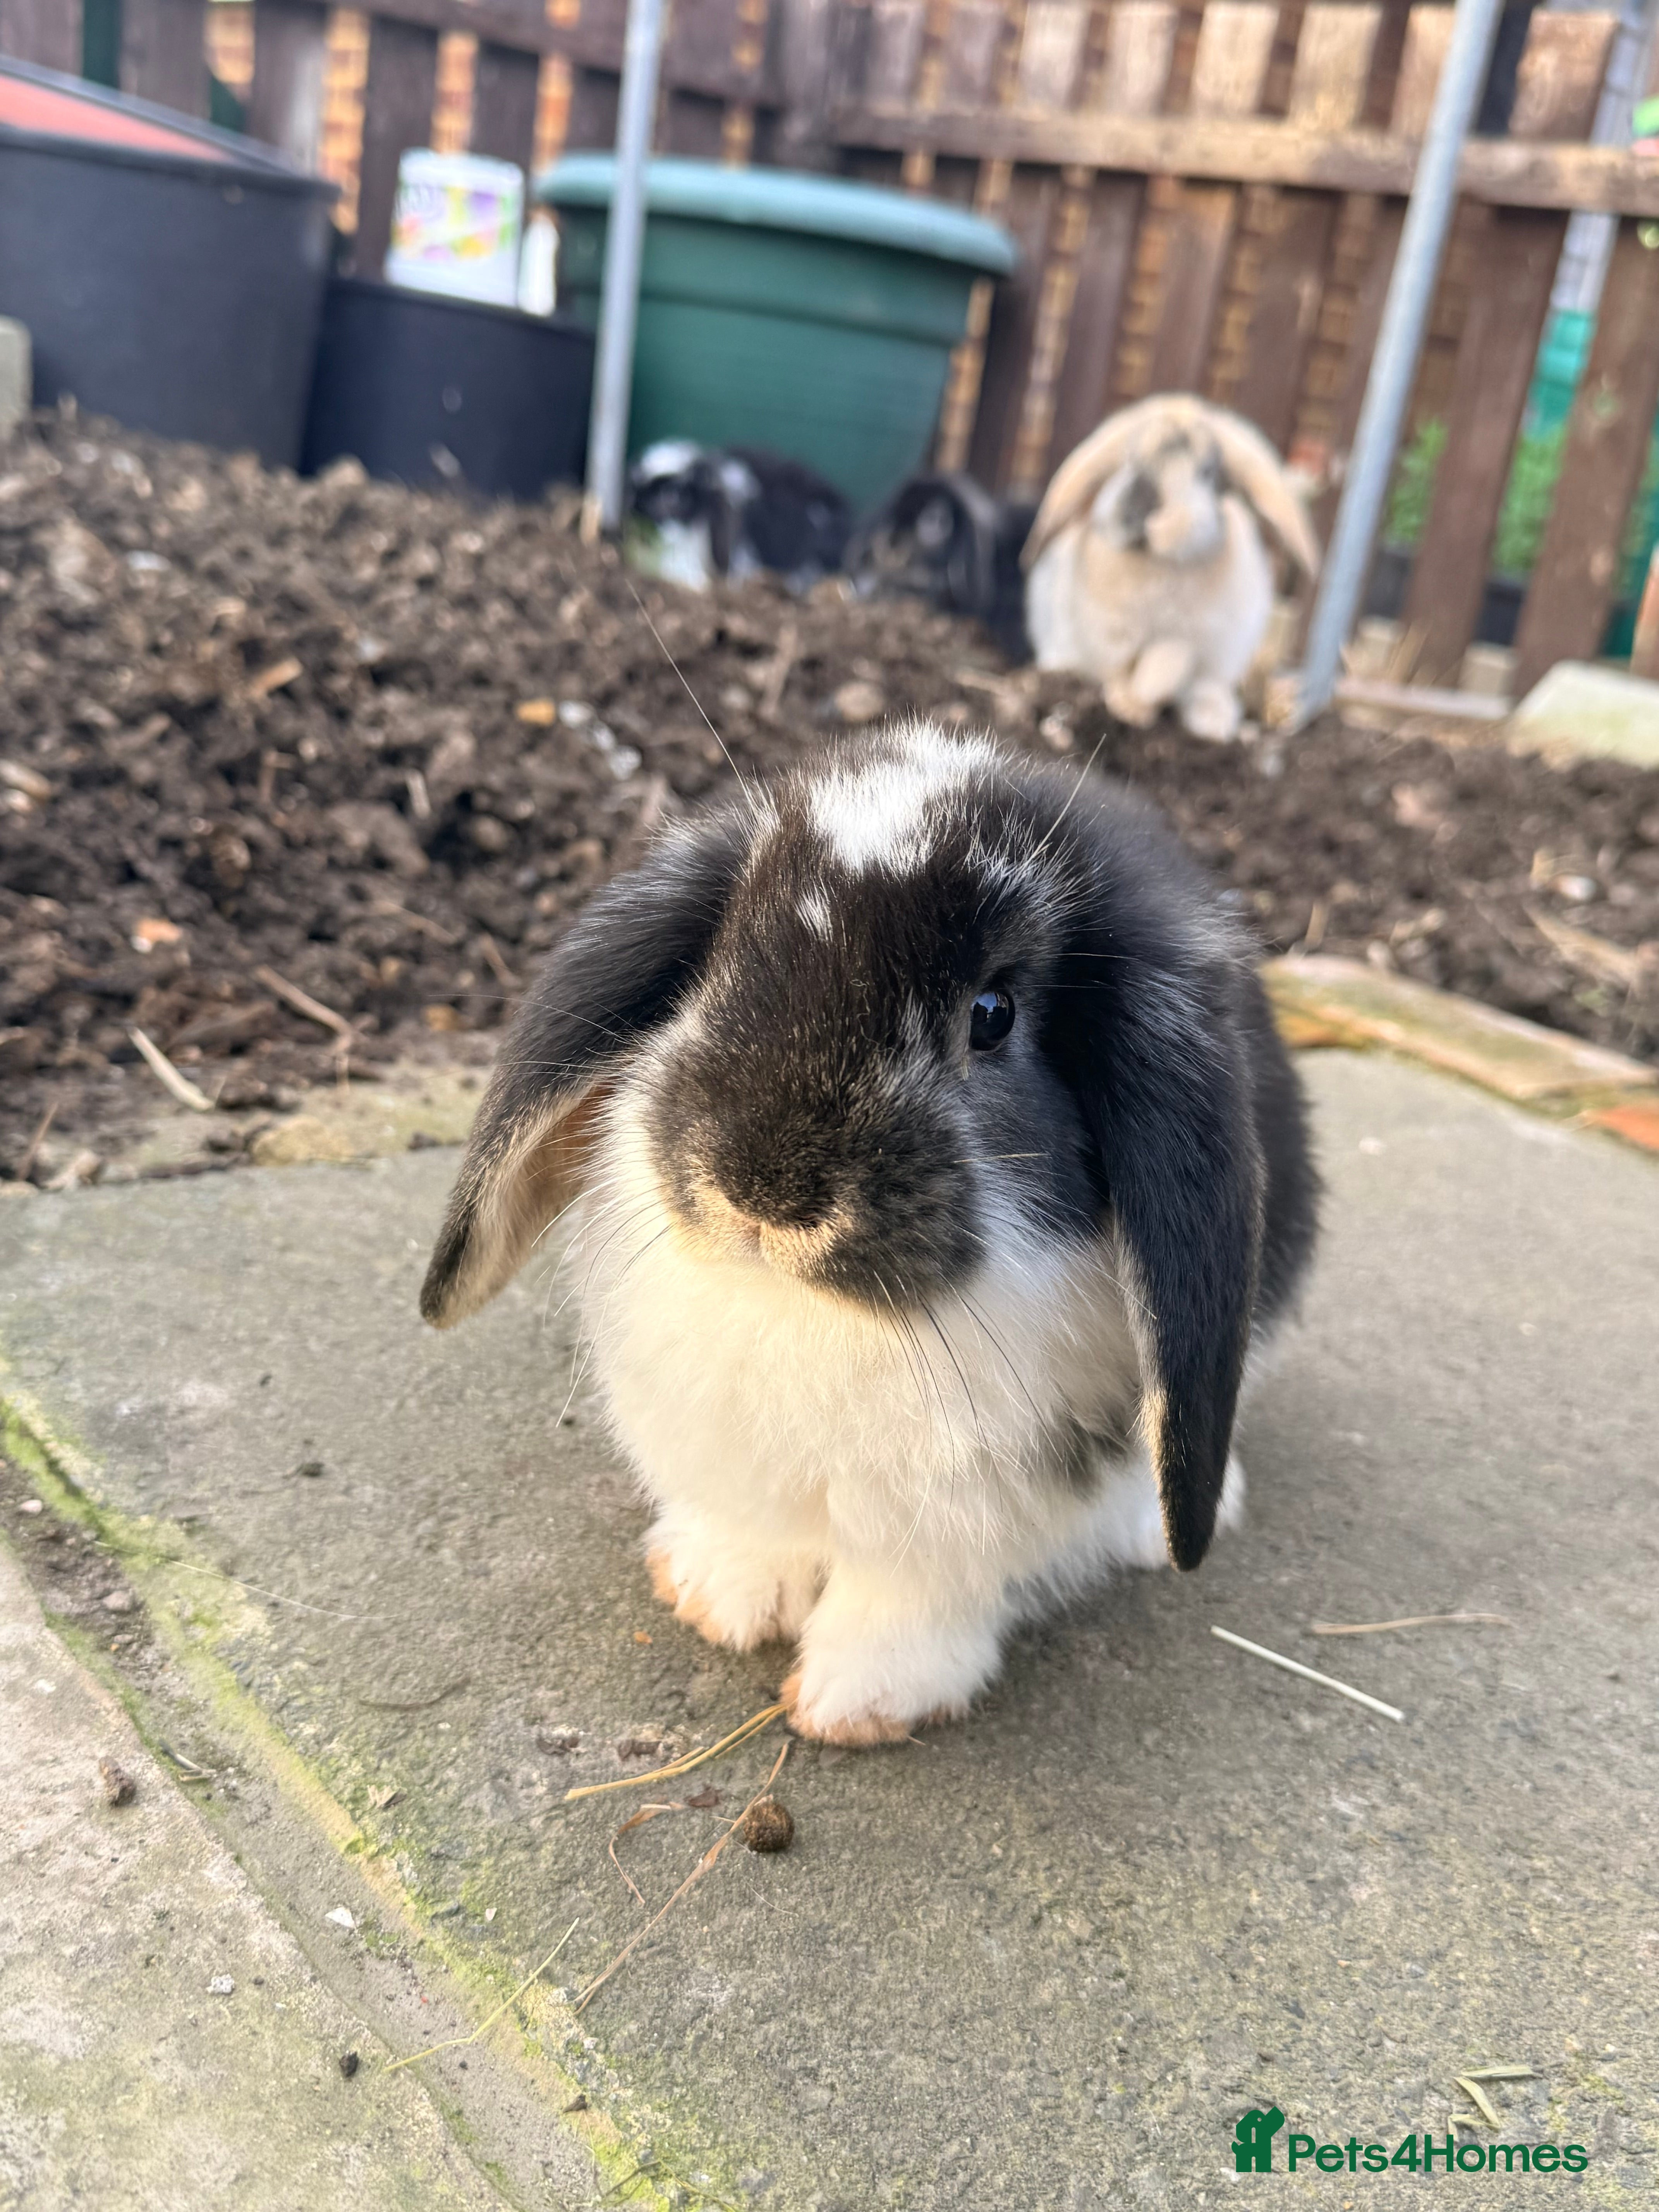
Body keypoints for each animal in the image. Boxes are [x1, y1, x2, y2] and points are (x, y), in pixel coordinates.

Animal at [420, 722, 1318, 1744]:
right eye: (724, 959)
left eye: (993, 1015)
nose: (761, 1189)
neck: (813, 1316)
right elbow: (755, 1536)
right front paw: (717, 1601)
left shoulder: (970, 1516)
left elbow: (912, 1597)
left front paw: (858, 1705)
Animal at [1023, 395, 1321, 743]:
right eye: (1129, 459)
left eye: (1206, 473)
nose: (1143, 501)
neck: (1156, 564)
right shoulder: (1109, 632)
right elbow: (1119, 669)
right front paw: (1121, 703)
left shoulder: (1182, 641)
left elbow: (1157, 674)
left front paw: (1135, 711)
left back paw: (1215, 721)